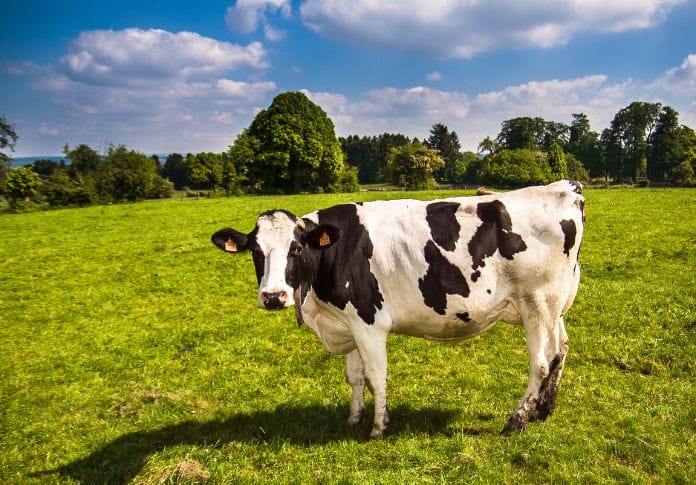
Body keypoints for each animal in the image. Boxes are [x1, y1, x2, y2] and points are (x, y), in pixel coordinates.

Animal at [213, 180, 588, 436]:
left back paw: (517, 420)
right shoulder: (348, 322)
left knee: (540, 363)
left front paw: (379, 426)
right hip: (554, 305)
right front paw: (353, 417)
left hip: (537, 302)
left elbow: (376, 376)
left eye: (296, 249)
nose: (274, 296)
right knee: (560, 350)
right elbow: (354, 377)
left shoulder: (369, 322)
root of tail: (564, 188)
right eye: (255, 251)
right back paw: (544, 410)